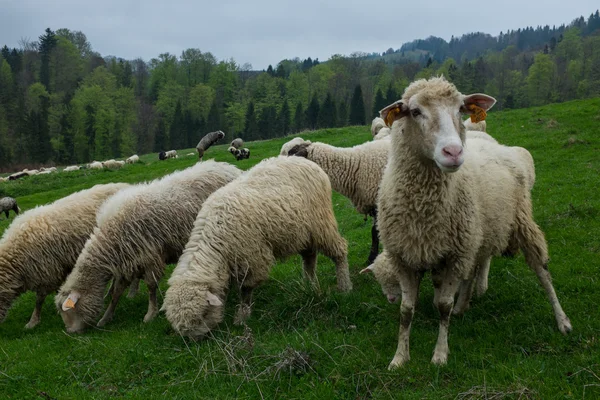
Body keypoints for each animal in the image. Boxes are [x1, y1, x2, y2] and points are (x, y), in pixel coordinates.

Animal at [55, 159, 243, 332]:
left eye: (69, 309)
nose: (70, 331)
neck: (110, 240)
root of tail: (227, 166)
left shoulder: (150, 257)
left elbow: (151, 287)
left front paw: (150, 314)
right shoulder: (126, 264)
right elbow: (116, 293)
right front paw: (106, 317)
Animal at [162, 155, 354, 338]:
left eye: (202, 314)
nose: (198, 341)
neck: (215, 242)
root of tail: (306, 162)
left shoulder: (252, 257)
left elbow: (246, 289)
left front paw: (242, 316)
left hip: (321, 224)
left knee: (339, 250)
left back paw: (345, 286)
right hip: (303, 233)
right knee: (309, 257)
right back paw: (309, 285)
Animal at [380, 76, 572, 368]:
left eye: (460, 109)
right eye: (414, 111)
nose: (453, 152)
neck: (423, 210)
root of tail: (496, 144)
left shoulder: (455, 254)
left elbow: (443, 306)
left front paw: (440, 354)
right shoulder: (403, 257)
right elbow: (406, 310)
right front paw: (400, 357)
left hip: (520, 221)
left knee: (542, 272)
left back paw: (562, 320)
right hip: (477, 234)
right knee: (477, 264)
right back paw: (464, 305)